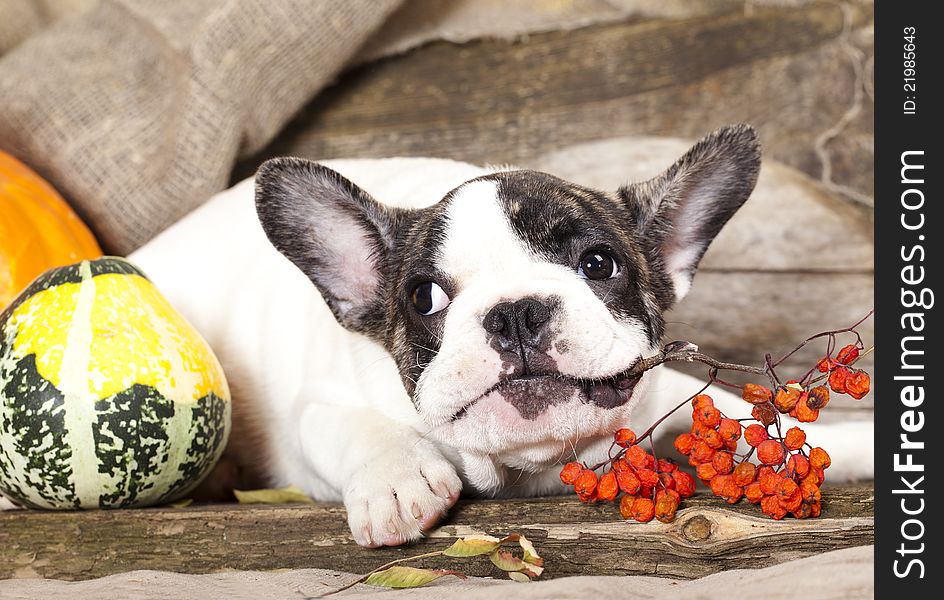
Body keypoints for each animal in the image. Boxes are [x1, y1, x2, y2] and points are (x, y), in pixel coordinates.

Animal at [127, 125, 876, 544]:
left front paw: (852, 442)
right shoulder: (318, 410)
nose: (516, 312)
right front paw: (398, 480)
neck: (527, 466)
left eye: (598, 264)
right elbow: (357, 428)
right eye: (423, 297)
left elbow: (736, 411)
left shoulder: (661, 390)